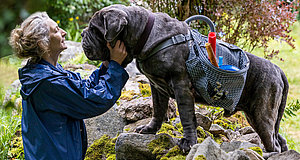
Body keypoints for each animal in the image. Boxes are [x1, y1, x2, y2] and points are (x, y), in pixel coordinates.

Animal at [81, 4, 288, 153]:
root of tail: (279, 70)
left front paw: (188, 143)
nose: (82, 33)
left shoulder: (181, 87)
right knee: (278, 138)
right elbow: (158, 110)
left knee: (273, 142)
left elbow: (187, 117)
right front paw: (150, 129)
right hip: (256, 115)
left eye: (93, 28)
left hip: (262, 114)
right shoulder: (157, 88)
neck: (144, 35)